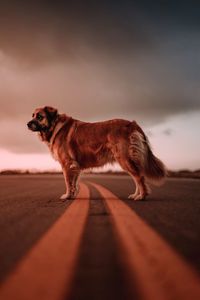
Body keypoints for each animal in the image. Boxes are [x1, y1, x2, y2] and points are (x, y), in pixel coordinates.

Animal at [27, 106, 166, 200]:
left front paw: (67, 195)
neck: (54, 125)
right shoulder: (75, 166)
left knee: (139, 177)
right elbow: (74, 182)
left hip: (124, 158)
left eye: (39, 116)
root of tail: (132, 123)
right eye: (32, 115)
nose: (27, 124)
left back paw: (142, 196)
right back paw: (135, 195)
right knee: (137, 177)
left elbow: (68, 182)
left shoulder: (67, 164)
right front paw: (73, 195)